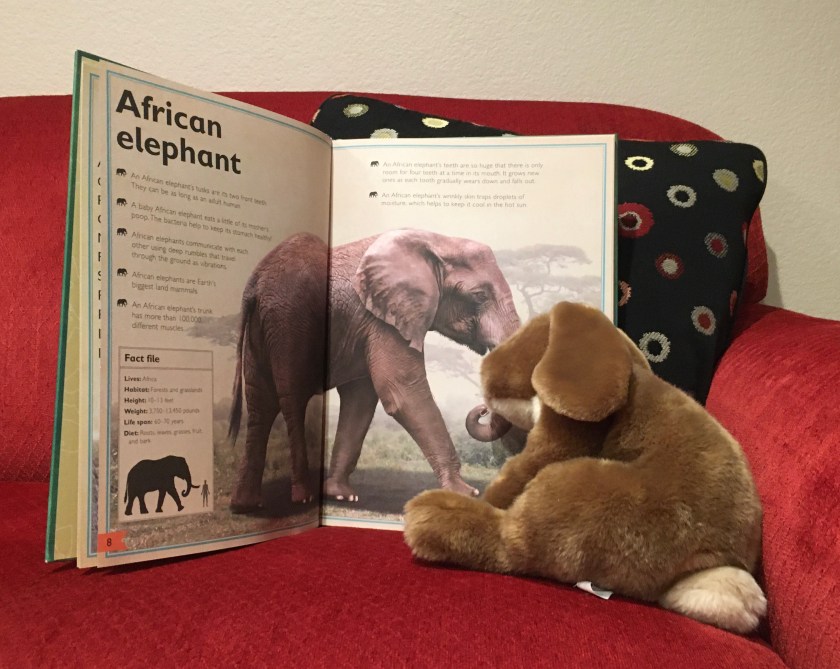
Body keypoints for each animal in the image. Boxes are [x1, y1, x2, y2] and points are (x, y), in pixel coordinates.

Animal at [228, 229, 520, 512]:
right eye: (480, 296)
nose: (482, 410)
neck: (435, 240)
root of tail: (254, 285)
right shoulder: (382, 320)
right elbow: (403, 391)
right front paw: (464, 493)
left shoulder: (367, 324)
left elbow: (360, 399)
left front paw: (341, 495)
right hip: (289, 322)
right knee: (291, 400)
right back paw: (302, 498)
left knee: (260, 405)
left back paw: (246, 504)